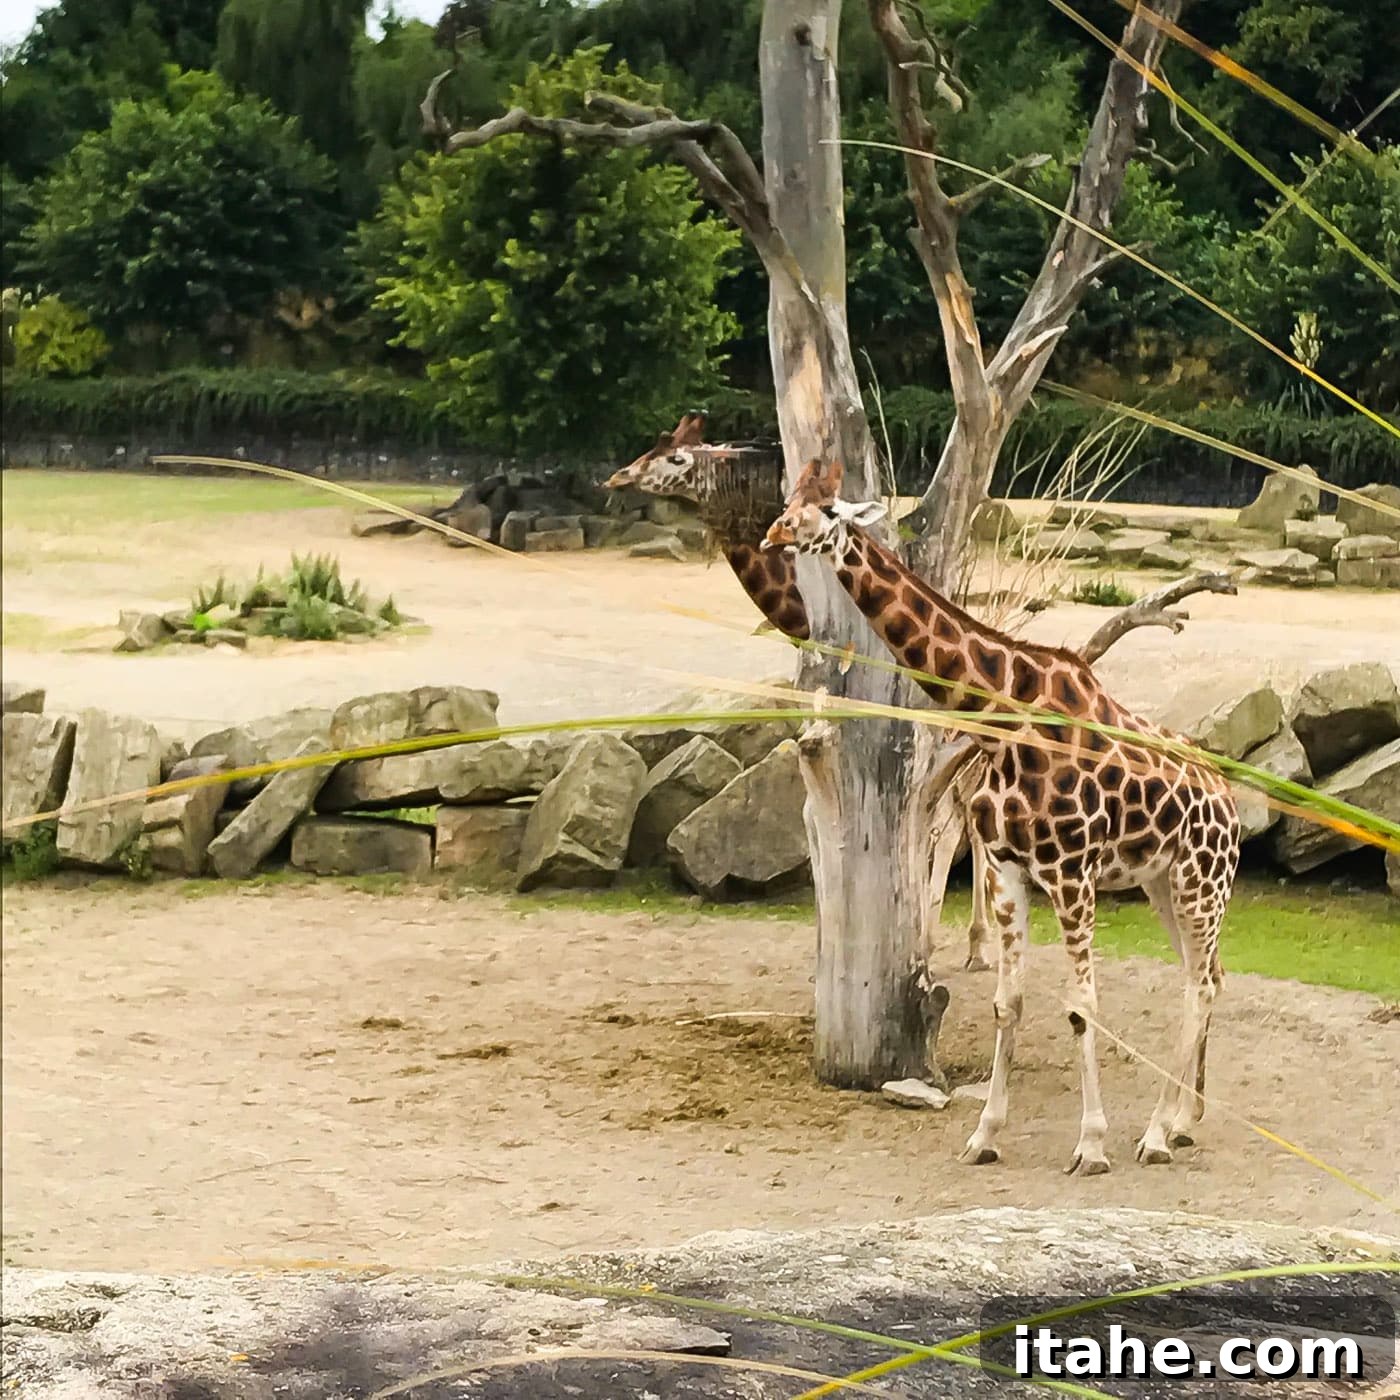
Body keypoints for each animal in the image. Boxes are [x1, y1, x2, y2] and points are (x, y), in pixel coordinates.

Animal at [764, 459, 1240, 1174]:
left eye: (828, 511)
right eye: (789, 500)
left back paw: (1155, 1133)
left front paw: (1091, 1144)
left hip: (1200, 882)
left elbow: (1081, 1007)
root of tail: (1232, 804)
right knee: (1202, 975)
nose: (773, 534)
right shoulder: (1009, 870)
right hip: (1163, 883)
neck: (1002, 719)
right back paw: (1183, 1122)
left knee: (1201, 986)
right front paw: (984, 1134)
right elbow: (1006, 1002)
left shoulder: (1072, 876)